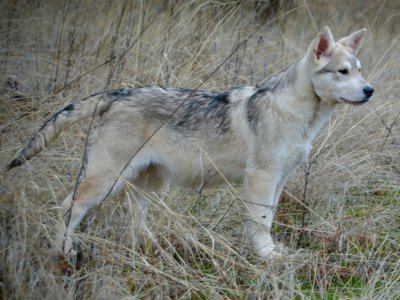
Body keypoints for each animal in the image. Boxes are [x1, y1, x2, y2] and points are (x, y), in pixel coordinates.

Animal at [7, 26, 376, 258]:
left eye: (359, 70)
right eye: (343, 72)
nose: (370, 90)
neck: (301, 115)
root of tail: (119, 93)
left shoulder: (279, 180)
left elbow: (268, 219)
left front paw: (272, 252)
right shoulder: (261, 177)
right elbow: (260, 223)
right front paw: (268, 257)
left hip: (150, 183)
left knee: (133, 218)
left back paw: (157, 246)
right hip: (106, 180)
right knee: (69, 207)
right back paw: (65, 251)